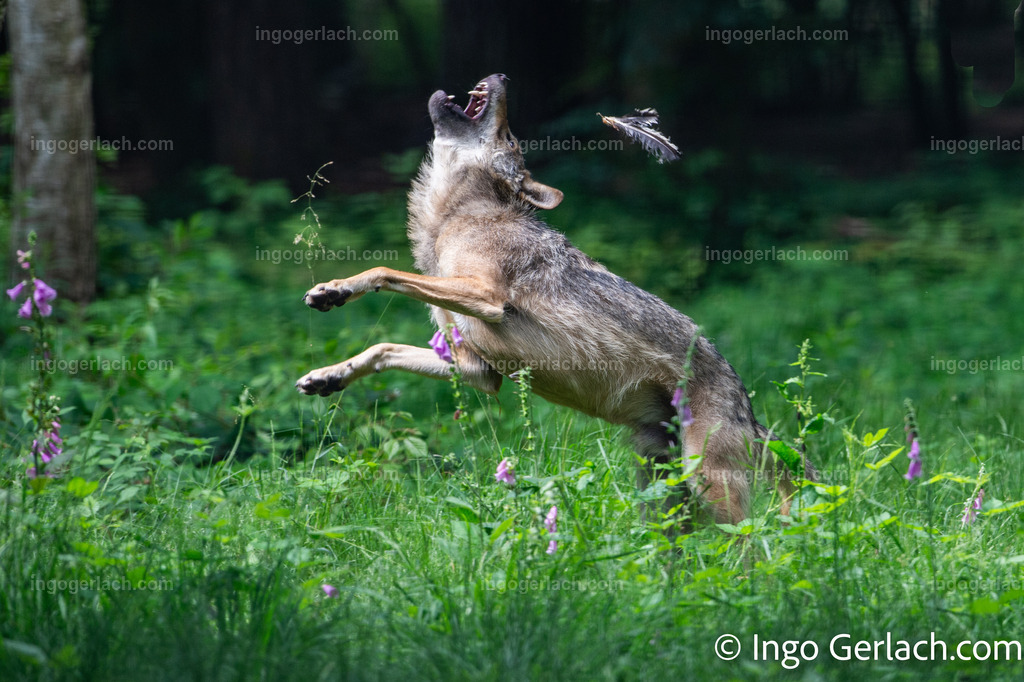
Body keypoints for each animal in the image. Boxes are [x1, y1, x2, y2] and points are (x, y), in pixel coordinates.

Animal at [296, 73, 815, 528]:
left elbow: (384, 272)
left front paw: (336, 289)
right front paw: (328, 376)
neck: (452, 222)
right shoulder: (476, 371)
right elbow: (381, 349)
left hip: (708, 484)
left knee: (751, 543)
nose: (503, 75)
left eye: (509, 135)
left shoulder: (486, 299)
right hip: (661, 490)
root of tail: (749, 410)